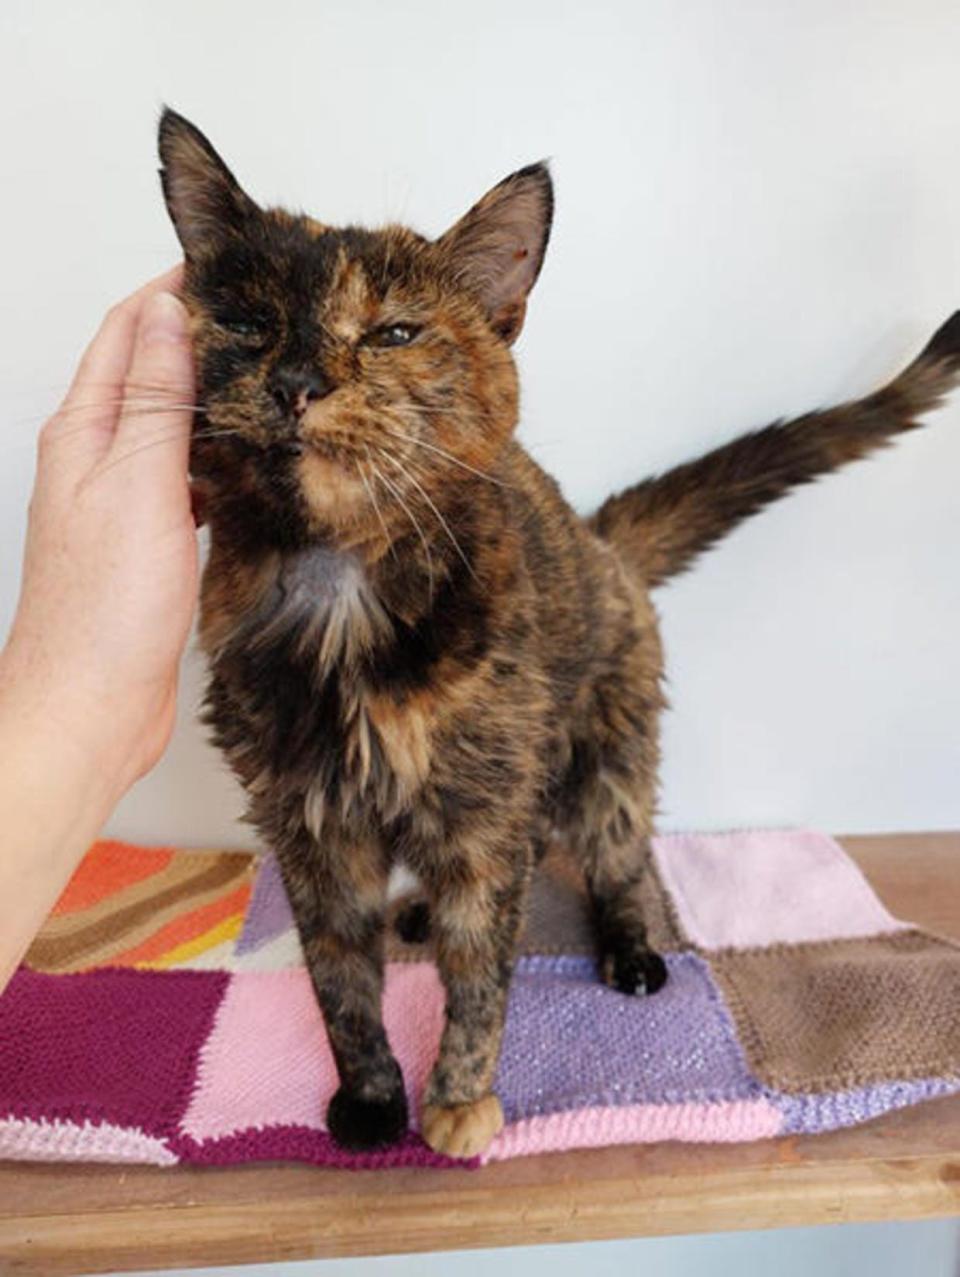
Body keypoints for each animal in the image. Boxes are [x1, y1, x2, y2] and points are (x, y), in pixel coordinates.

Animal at [157, 112, 960, 1159]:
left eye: (394, 332)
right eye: (251, 325)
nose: (298, 383)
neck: (343, 588)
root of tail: (598, 535)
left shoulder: (481, 810)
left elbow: (481, 972)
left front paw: (459, 1102)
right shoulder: (309, 820)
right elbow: (339, 978)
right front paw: (370, 1098)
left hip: (602, 757)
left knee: (615, 858)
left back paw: (629, 951)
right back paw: (414, 915)